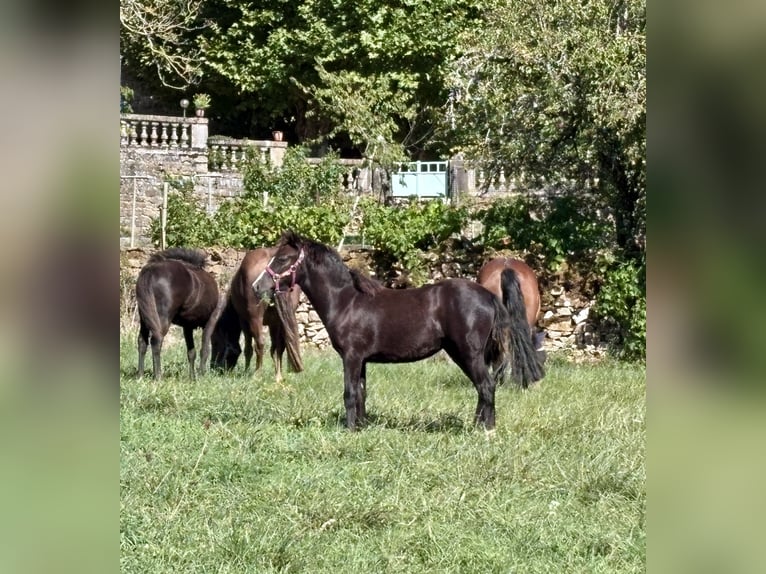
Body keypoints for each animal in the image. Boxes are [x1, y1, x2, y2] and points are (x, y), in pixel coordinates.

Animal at [136, 248, 222, 380]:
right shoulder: (211, 320)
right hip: (162, 318)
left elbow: (191, 352)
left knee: (142, 341)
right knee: (156, 341)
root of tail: (151, 270)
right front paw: (201, 375)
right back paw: (158, 376)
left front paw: (192, 377)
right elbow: (204, 350)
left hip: (145, 318)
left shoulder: (187, 327)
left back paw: (140, 375)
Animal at [211, 247, 303, 383]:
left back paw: (257, 374)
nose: (214, 367)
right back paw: (278, 376)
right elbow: (275, 348)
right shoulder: (274, 323)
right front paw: (277, 375)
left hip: (255, 319)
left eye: (215, 343)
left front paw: (246, 371)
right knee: (279, 346)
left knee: (260, 343)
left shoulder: (244, 321)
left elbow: (248, 348)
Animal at [252, 230, 544, 431]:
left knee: (486, 386)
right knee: (484, 388)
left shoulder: (351, 357)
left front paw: (350, 430)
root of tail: (488, 295)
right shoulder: (362, 360)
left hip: (468, 353)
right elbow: (361, 393)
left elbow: (349, 393)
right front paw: (361, 426)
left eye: (283, 259)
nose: (257, 287)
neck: (347, 301)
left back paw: (485, 431)